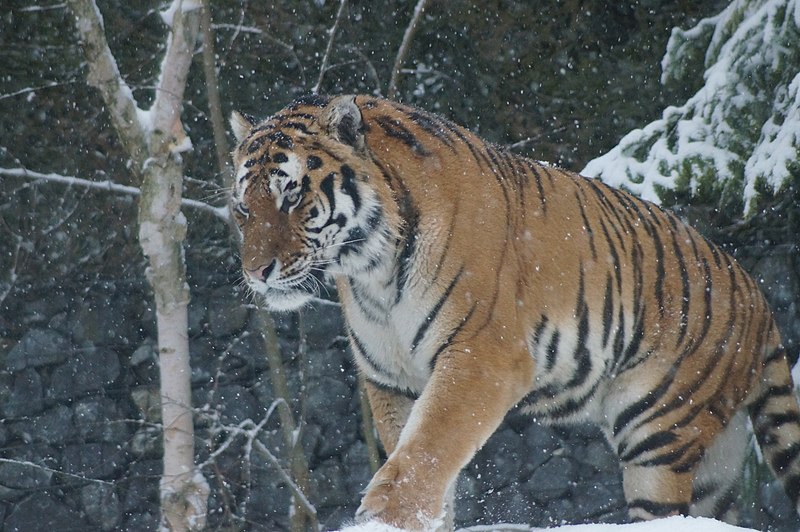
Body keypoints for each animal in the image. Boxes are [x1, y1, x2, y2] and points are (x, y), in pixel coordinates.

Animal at [228, 93, 800, 528]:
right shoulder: (391, 380)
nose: (256, 272)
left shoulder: (480, 357)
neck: (371, 271)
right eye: (242, 209)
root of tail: (756, 294)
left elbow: (428, 449)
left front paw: (386, 516)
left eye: (292, 197)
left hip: (659, 429)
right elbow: (413, 454)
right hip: (714, 460)